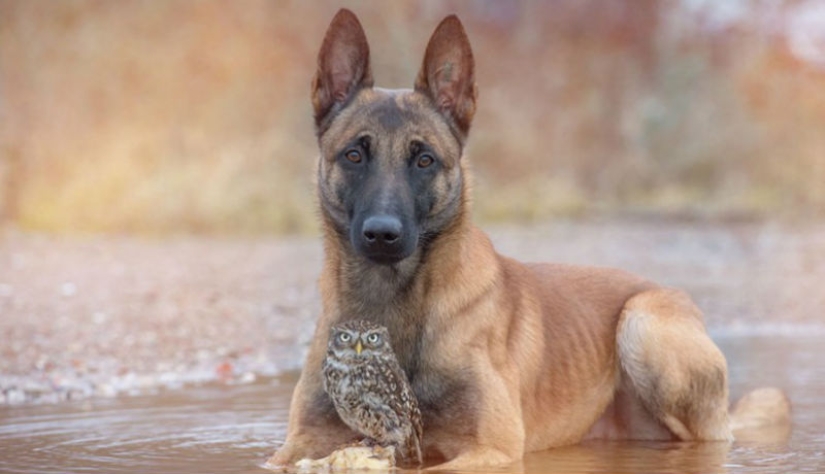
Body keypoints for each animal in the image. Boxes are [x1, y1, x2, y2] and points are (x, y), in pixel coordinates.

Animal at [268, 9, 788, 468]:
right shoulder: (299, 443)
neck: (389, 302)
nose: (382, 235)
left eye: (424, 160)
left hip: (642, 325)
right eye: (354, 155)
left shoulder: (489, 449)